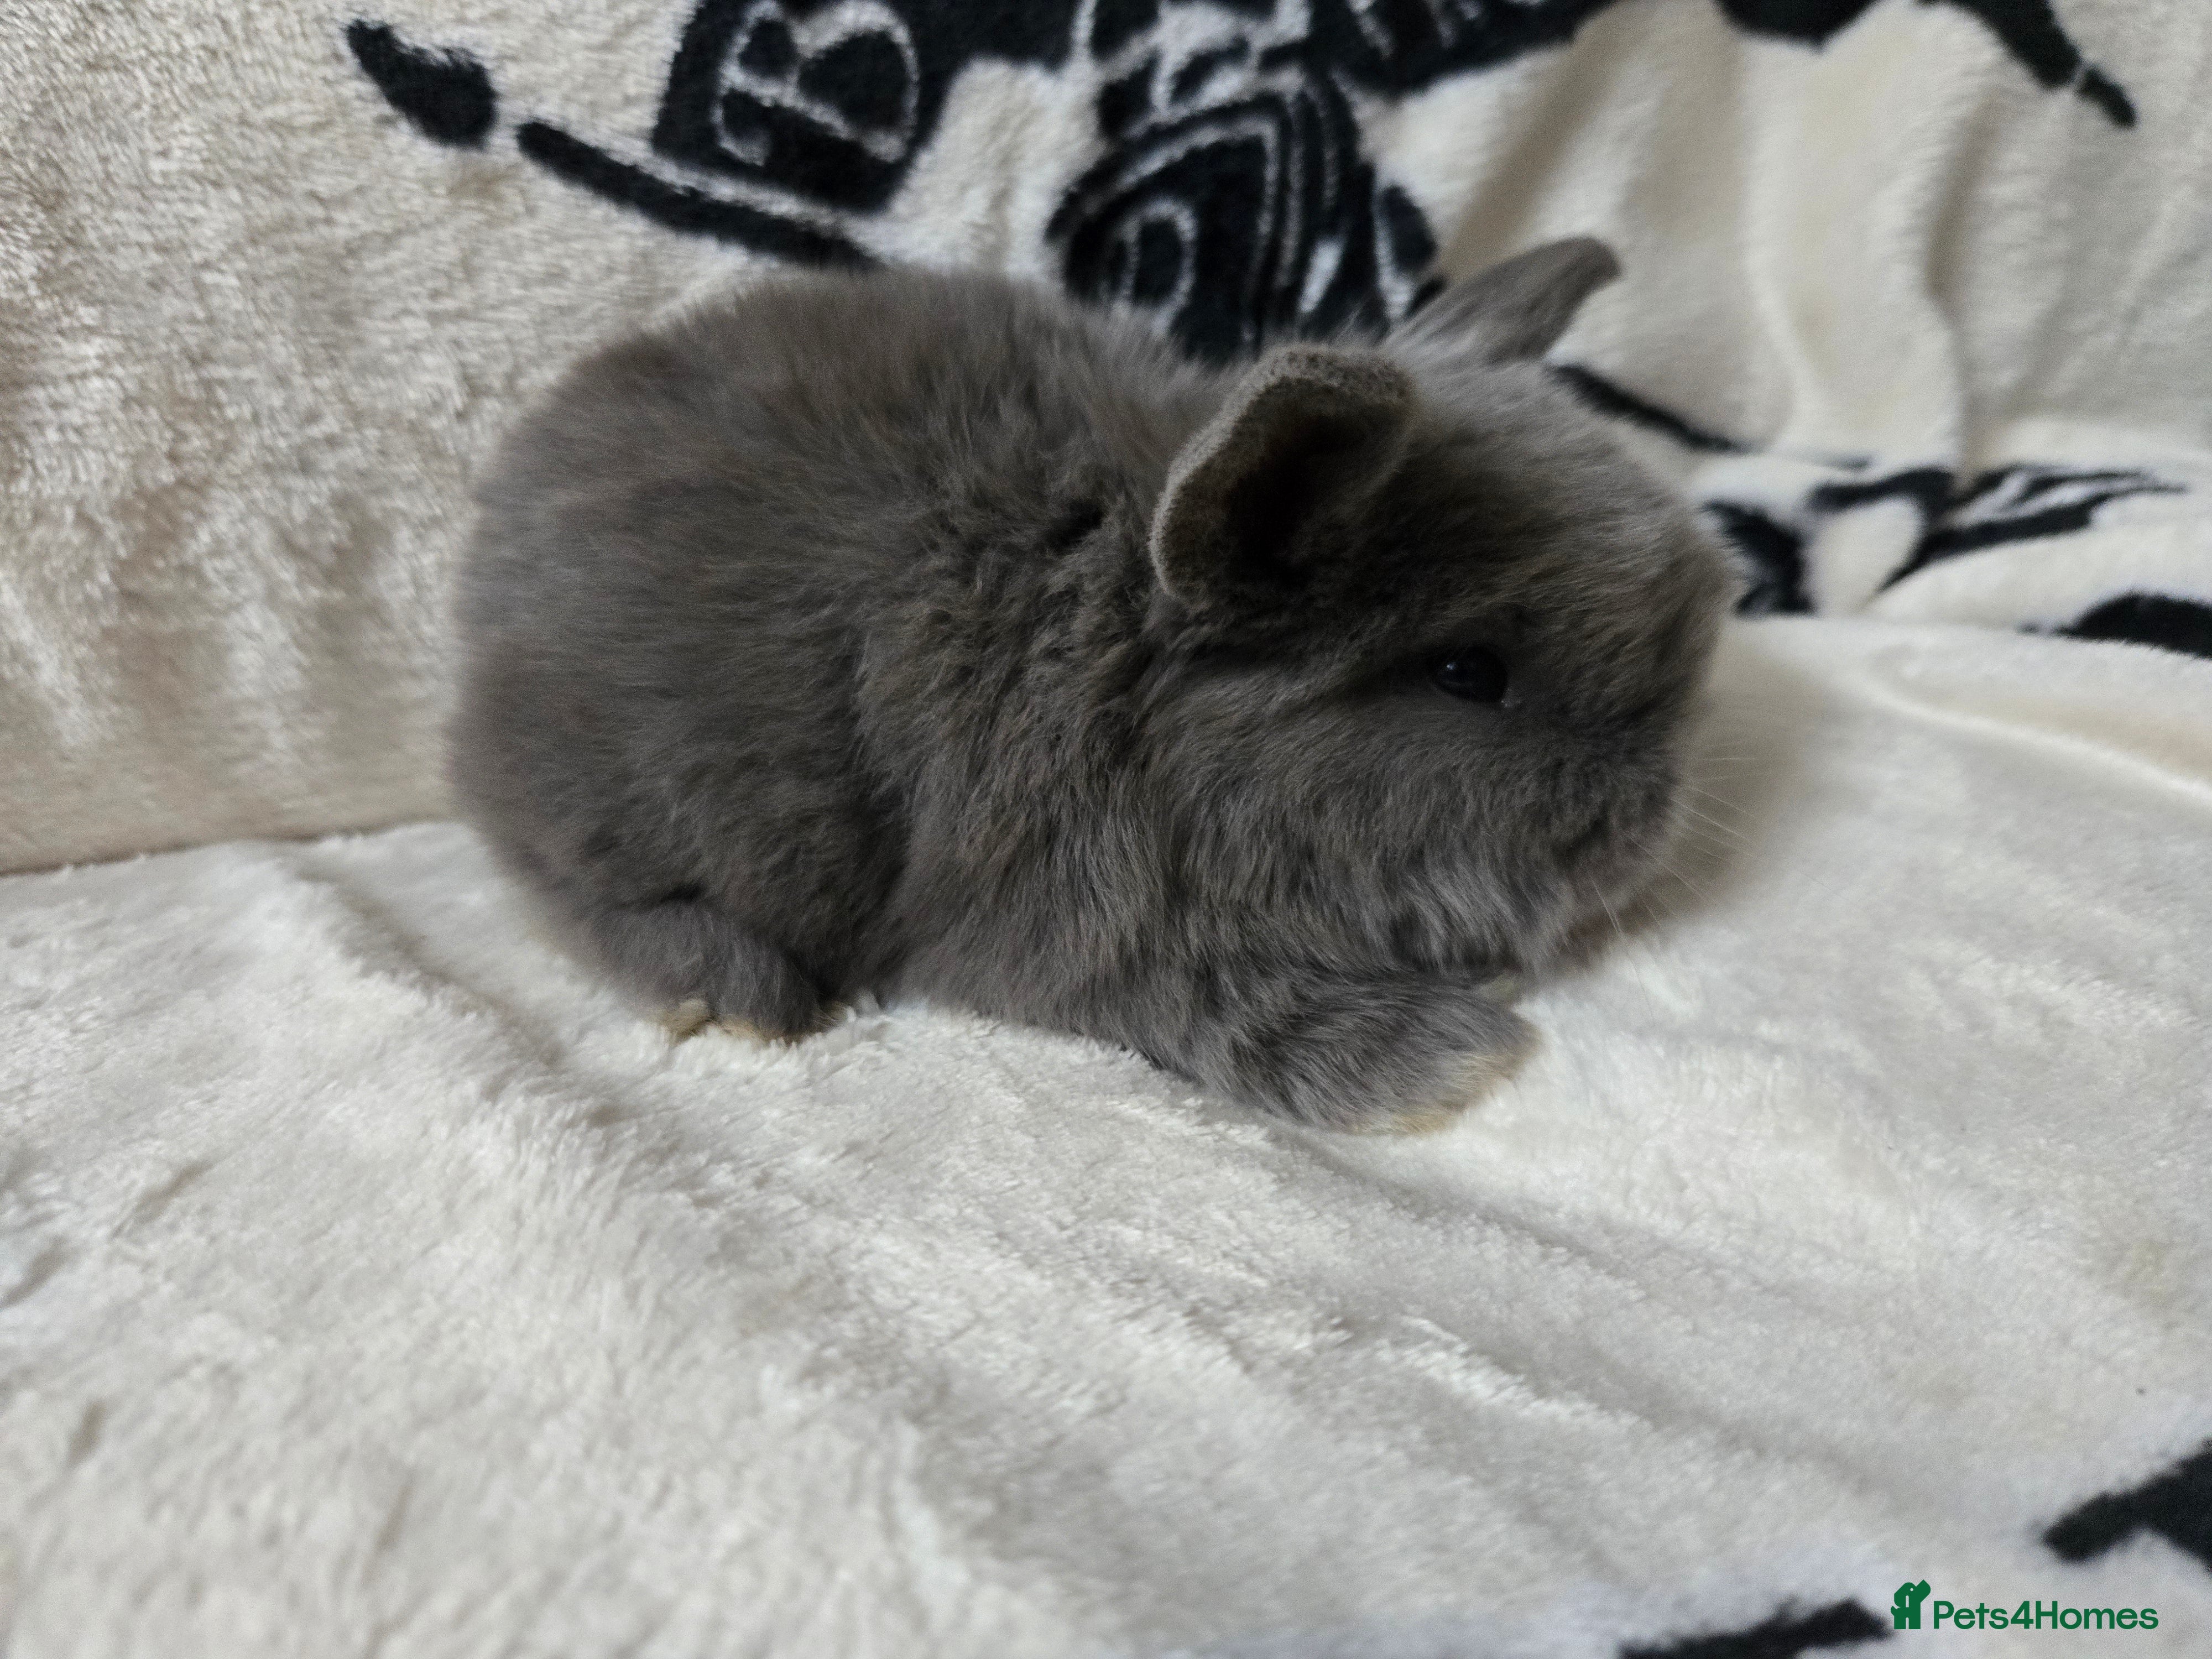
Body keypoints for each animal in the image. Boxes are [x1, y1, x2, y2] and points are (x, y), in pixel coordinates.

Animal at [450, 238, 1730, 1132]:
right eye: (1469, 673)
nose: (1646, 829)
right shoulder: (1071, 912)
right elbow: (1217, 1002)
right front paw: (1451, 1060)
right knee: (580, 900)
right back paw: (745, 994)